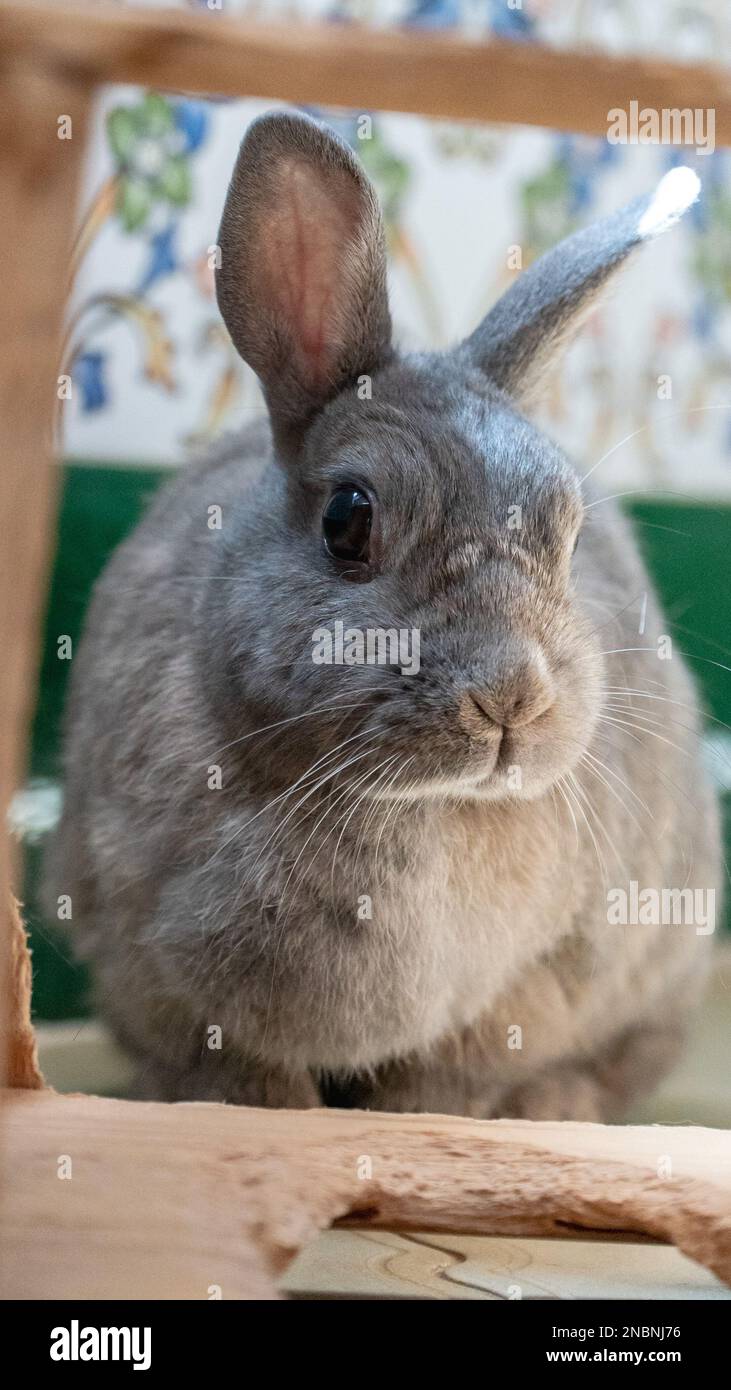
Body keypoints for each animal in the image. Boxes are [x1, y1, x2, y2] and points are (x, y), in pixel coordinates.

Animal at [48, 111, 720, 1120]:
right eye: (347, 519)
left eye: (566, 533)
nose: (509, 698)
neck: (412, 806)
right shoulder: (148, 973)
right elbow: (231, 1078)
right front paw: (274, 1118)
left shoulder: (538, 982)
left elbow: (447, 1079)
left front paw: (416, 1123)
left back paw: (555, 1105)